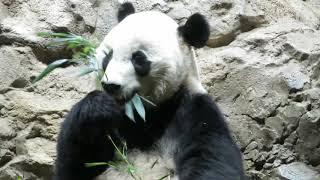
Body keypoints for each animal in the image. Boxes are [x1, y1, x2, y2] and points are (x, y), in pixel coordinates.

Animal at [55, 2, 245, 180]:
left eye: (138, 59)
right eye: (108, 56)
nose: (111, 86)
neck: (143, 114)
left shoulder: (192, 112)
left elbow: (212, 160)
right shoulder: (115, 125)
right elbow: (76, 166)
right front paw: (97, 107)